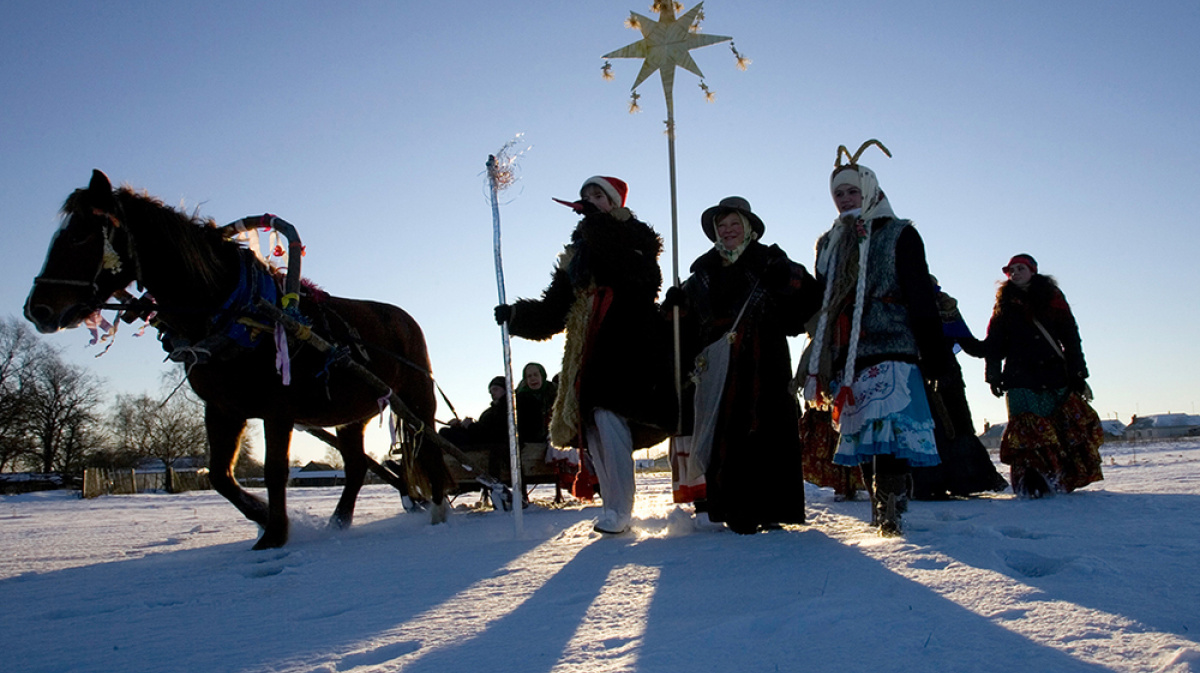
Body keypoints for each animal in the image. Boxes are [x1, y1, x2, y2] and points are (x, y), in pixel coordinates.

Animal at [24, 170, 451, 549]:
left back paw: (439, 512)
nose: (37, 310)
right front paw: (263, 518)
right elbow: (220, 476)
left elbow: (275, 471)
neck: (236, 311)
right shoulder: (222, 409)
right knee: (358, 466)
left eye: (79, 235)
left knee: (430, 451)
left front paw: (275, 534)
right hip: (353, 413)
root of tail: (404, 319)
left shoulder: (278, 409)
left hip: (417, 399)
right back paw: (339, 523)